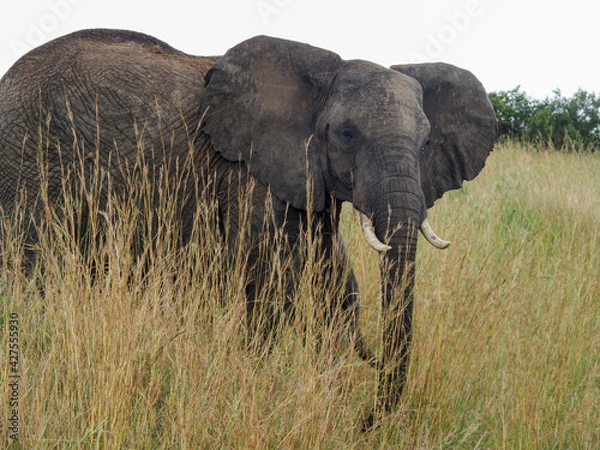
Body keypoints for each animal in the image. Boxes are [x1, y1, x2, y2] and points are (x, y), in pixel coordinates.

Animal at [0, 29, 496, 418]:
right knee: (34, 269)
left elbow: (331, 279)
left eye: (426, 141)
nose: (369, 419)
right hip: (25, 161)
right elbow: (269, 280)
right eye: (347, 134)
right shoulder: (249, 174)